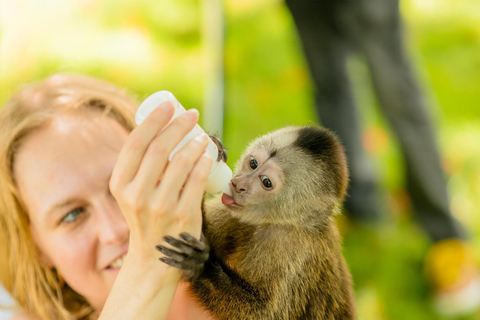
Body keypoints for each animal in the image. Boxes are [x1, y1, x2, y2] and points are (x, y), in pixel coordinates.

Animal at [158, 125, 356, 320]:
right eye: (253, 163)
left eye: (266, 182)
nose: (238, 185)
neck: (271, 222)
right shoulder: (228, 212)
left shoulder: (289, 245)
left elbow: (262, 313)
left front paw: (200, 264)